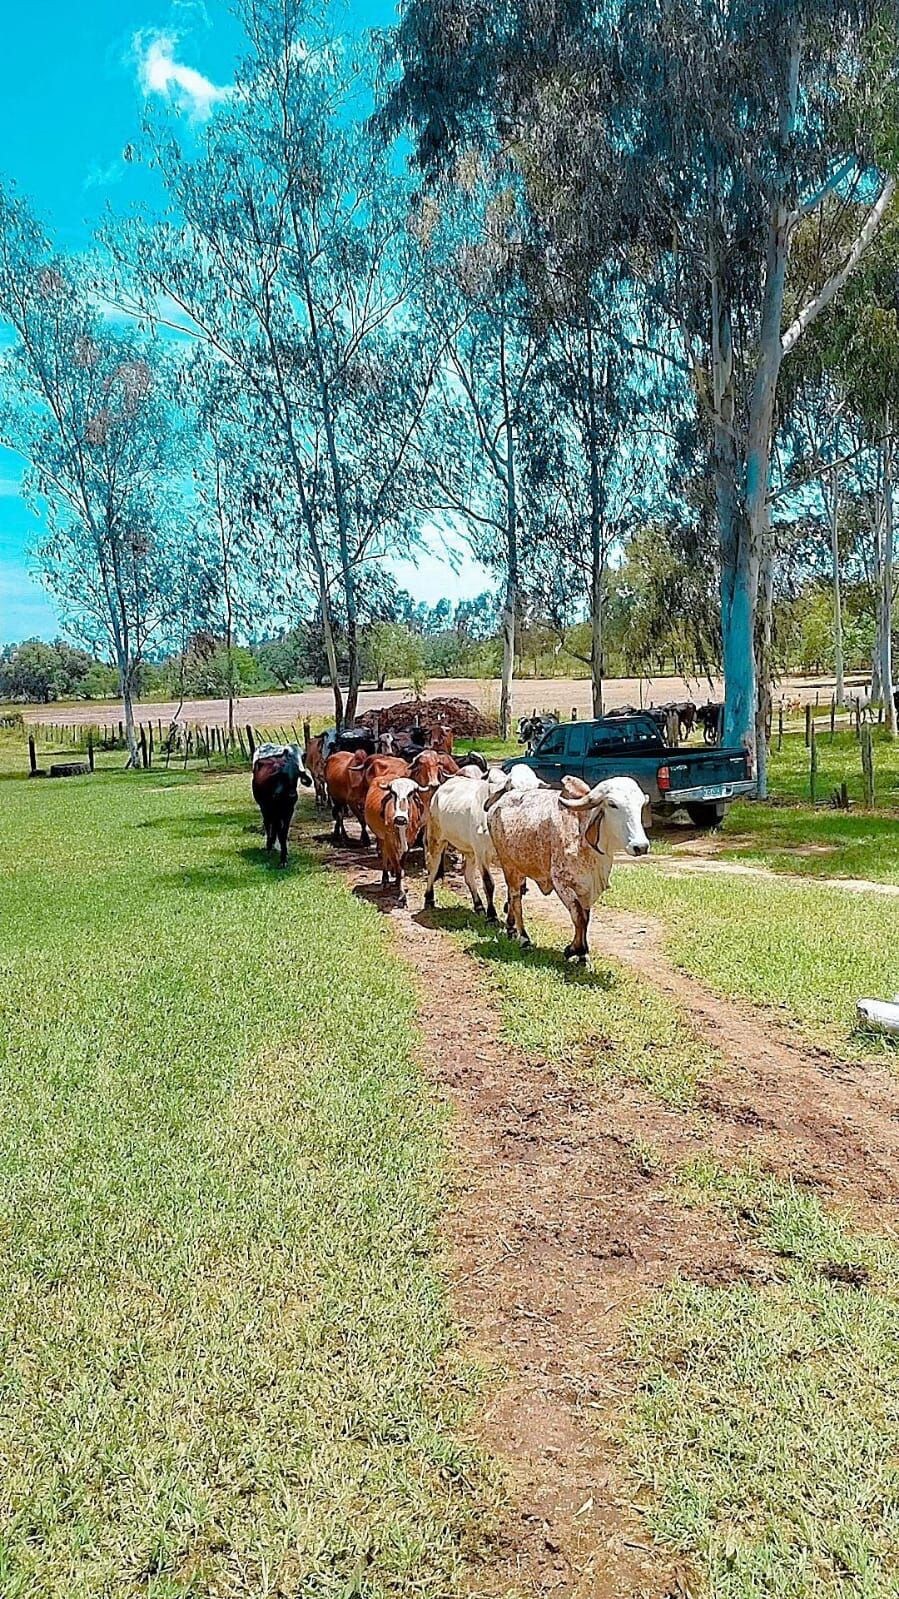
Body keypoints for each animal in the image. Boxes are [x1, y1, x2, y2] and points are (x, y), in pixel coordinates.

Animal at [361, 777, 425, 908]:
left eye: (410, 793)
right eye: (393, 793)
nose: (400, 819)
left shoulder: (410, 842)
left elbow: (401, 865)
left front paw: (398, 883)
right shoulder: (389, 841)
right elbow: (398, 868)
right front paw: (402, 895)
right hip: (381, 837)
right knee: (384, 855)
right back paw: (385, 879)